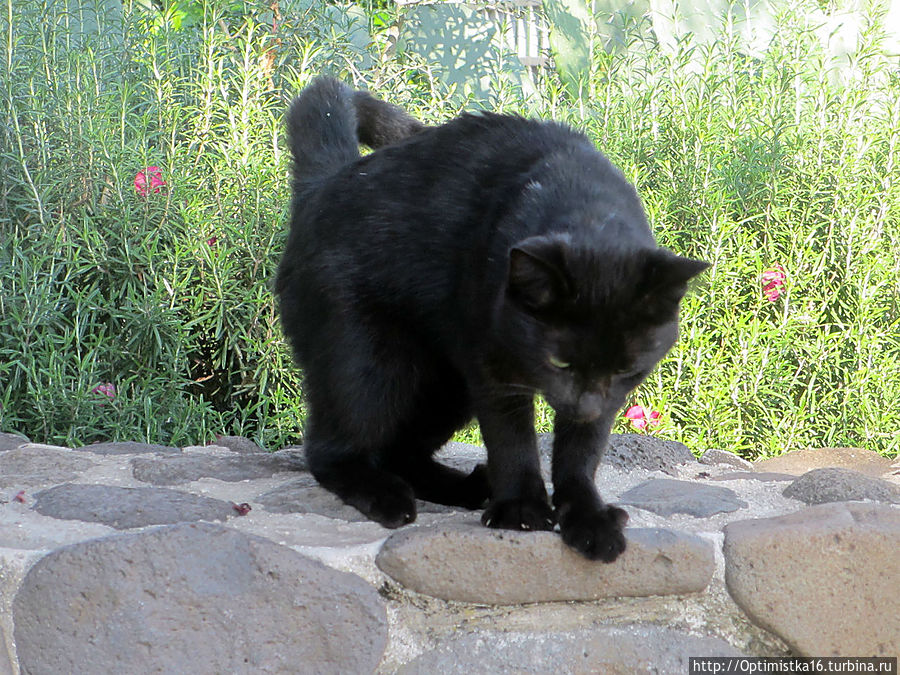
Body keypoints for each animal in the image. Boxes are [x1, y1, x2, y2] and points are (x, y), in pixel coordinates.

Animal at [276, 76, 712, 564]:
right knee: (333, 448)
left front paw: (588, 518)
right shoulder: (493, 368)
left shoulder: (610, 396)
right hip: (368, 362)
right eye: (558, 362)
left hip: (445, 387)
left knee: (400, 451)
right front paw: (521, 509)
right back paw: (388, 496)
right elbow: (513, 441)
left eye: (624, 368)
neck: (587, 211)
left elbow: (581, 456)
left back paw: (467, 488)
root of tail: (324, 183)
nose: (582, 408)